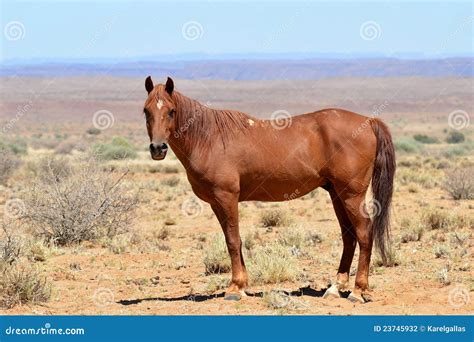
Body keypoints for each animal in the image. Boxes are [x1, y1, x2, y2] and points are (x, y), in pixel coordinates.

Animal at [143, 77, 394, 302]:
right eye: (146, 111)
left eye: (172, 111)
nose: (158, 148)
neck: (210, 139)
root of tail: (369, 121)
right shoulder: (217, 203)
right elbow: (234, 240)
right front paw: (241, 285)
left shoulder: (226, 198)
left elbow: (232, 240)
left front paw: (234, 289)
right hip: (336, 194)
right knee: (349, 235)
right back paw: (334, 288)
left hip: (351, 195)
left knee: (364, 233)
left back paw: (357, 291)